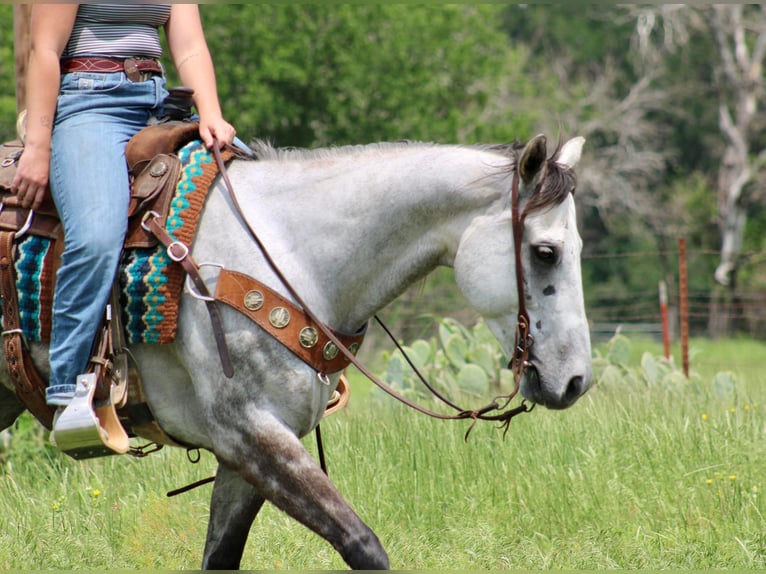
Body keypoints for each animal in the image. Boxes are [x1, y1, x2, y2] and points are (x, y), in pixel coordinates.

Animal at [0, 135, 592, 572]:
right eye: (545, 252)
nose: (576, 381)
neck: (285, 253)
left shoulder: (246, 455)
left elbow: (220, 557)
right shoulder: (251, 434)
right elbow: (363, 546)